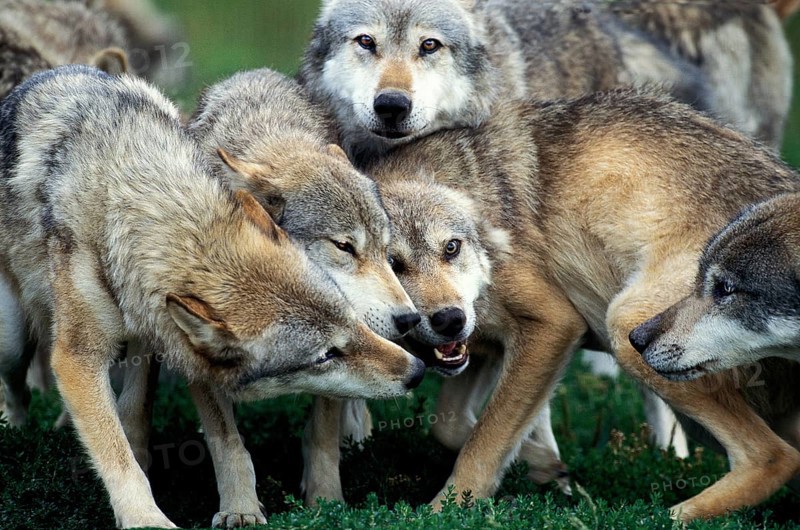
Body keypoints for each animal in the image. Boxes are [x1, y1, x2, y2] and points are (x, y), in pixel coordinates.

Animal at [0, 65, 424, 529]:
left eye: (387, 252)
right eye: (344, 247)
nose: (417, 365)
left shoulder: (164, 333)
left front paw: (326, 503)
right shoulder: (85, 355)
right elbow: (150, 448)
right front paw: (163, 516)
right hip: (13, 341)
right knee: (19, 388)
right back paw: (17, 432)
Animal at [353, 90, 800, 521]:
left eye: (451, 248)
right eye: (393, 264)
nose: (450, 319)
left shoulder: (553, 325)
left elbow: (483, 441)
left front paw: (446, 509)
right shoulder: (485, 349)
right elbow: (456, 426)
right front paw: (545, 466)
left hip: (625, 326)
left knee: (774, 456)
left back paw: (666, 515)